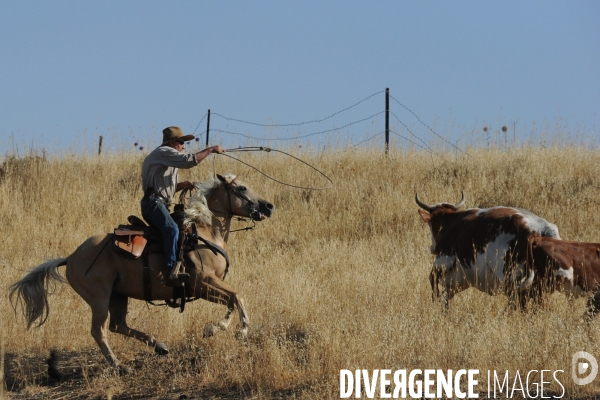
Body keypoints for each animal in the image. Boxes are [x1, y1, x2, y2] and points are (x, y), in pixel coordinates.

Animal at [9, 173, 274, 374]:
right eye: (242, 187)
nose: (268, 206)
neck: (204, 231)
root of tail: (71, 257)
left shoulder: (206, 286)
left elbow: (231, 300)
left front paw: (214, 328)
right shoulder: (202, 282)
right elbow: (237, 297)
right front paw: (239, 331)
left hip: (118, 296)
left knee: (118, 325)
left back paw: (159, 346)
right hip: (99, 298)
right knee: (100, 331)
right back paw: (119, 366)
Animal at [414, 192, 560, 308]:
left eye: (432, 223)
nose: (433, 248)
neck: (450, 222)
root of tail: (537, 229)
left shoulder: (442, 260)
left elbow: (433, 282)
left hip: (512, 280)